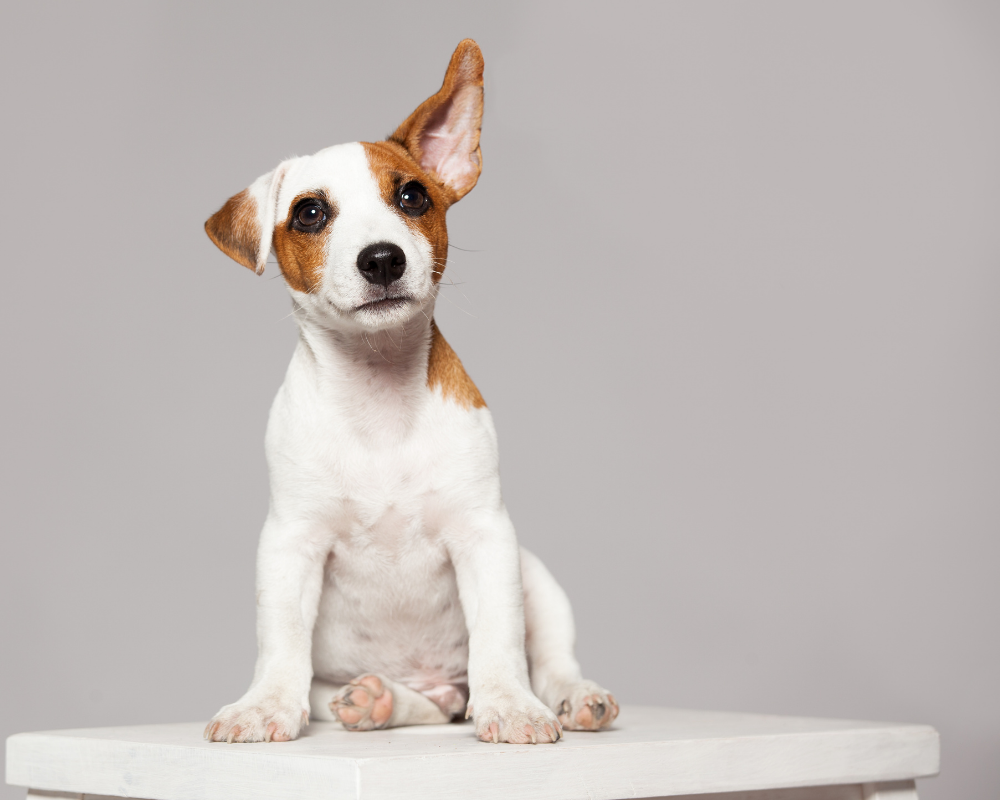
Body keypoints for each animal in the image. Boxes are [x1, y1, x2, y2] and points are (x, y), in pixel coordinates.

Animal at [203, 40, 616, 748]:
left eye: (412, 195)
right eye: (309, 212)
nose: (382, 259)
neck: (379, 392)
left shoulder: (486, 535)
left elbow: (500, 639)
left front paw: (511, 705)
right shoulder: (290, 542)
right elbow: (280, 639)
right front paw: (264, 705)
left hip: (537, 576)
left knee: (549, 659)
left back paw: (573, 697)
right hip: (347, 685)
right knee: (412, 703)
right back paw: (379, 701)